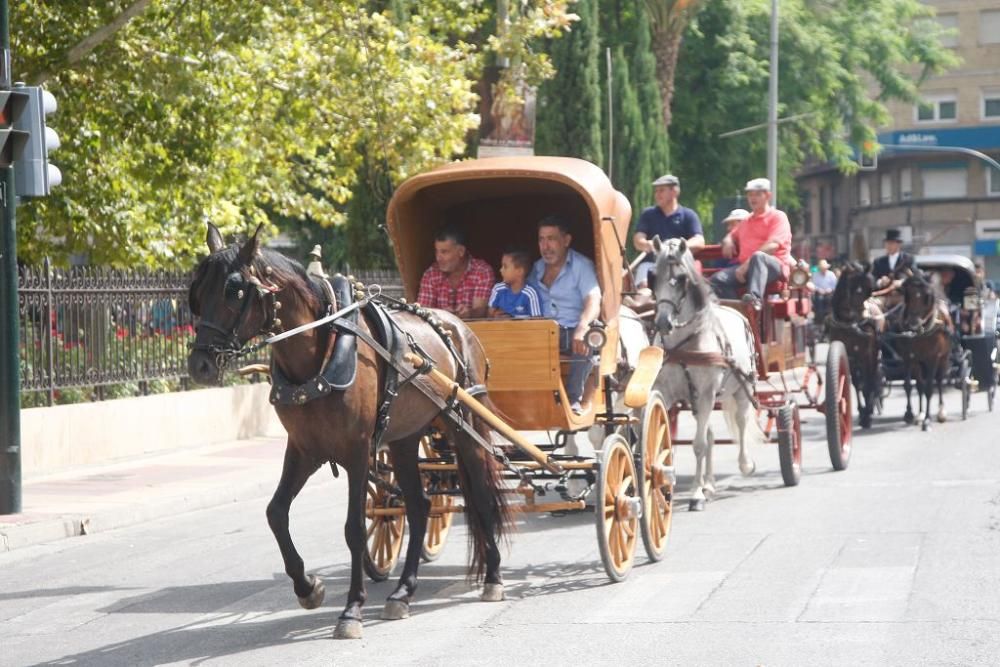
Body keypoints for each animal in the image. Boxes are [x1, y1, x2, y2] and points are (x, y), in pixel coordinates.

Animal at [187, 226, 512, 640]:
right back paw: (402, 593)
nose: (199, 364)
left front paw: (352, 609)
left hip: (464, 425)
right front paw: (308, 587)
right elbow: (276, 513)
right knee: (420, 505)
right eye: (198, 292)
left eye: (235, 291)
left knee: (482, 496)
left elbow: (354, 528)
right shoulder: (304, 449)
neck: (321, 353)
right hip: (404, 439)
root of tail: (457, 326)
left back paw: (493, 577)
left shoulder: (357, 451)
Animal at [648, 239, 756, 512]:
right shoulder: (667, 392)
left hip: (743, 387)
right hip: (698, 399)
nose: (663, 323)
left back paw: (744, 465)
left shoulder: (707, 393)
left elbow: (698, 445)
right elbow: (664, 435)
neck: (685, 344)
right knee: (709, 433)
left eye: (681, 278)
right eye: (653, 277)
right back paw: (709, 484)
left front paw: (696, 493)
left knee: (741, 421)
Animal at [828, 260, 884, 428]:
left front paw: (867, 415)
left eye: (870, 291)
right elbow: (856, 383)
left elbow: (867, 383)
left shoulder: (866, 353)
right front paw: (861, 411)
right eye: (854, 289)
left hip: (873, 353)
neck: (848, 323)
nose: (864, 319)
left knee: (872, 377)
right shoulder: (850, 354)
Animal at [896, 272, 948, 434]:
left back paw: (941, 412)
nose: (914, 323)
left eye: (927, 296)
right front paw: (909, 414)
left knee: (939, 381)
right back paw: (920, 413)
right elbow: (908, 385)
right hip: (918, 362)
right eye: (908, 294)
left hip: (944, 358)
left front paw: (927, 421)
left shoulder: (933, 358)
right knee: (919, 385)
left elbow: (930, 388)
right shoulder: (908, 358)